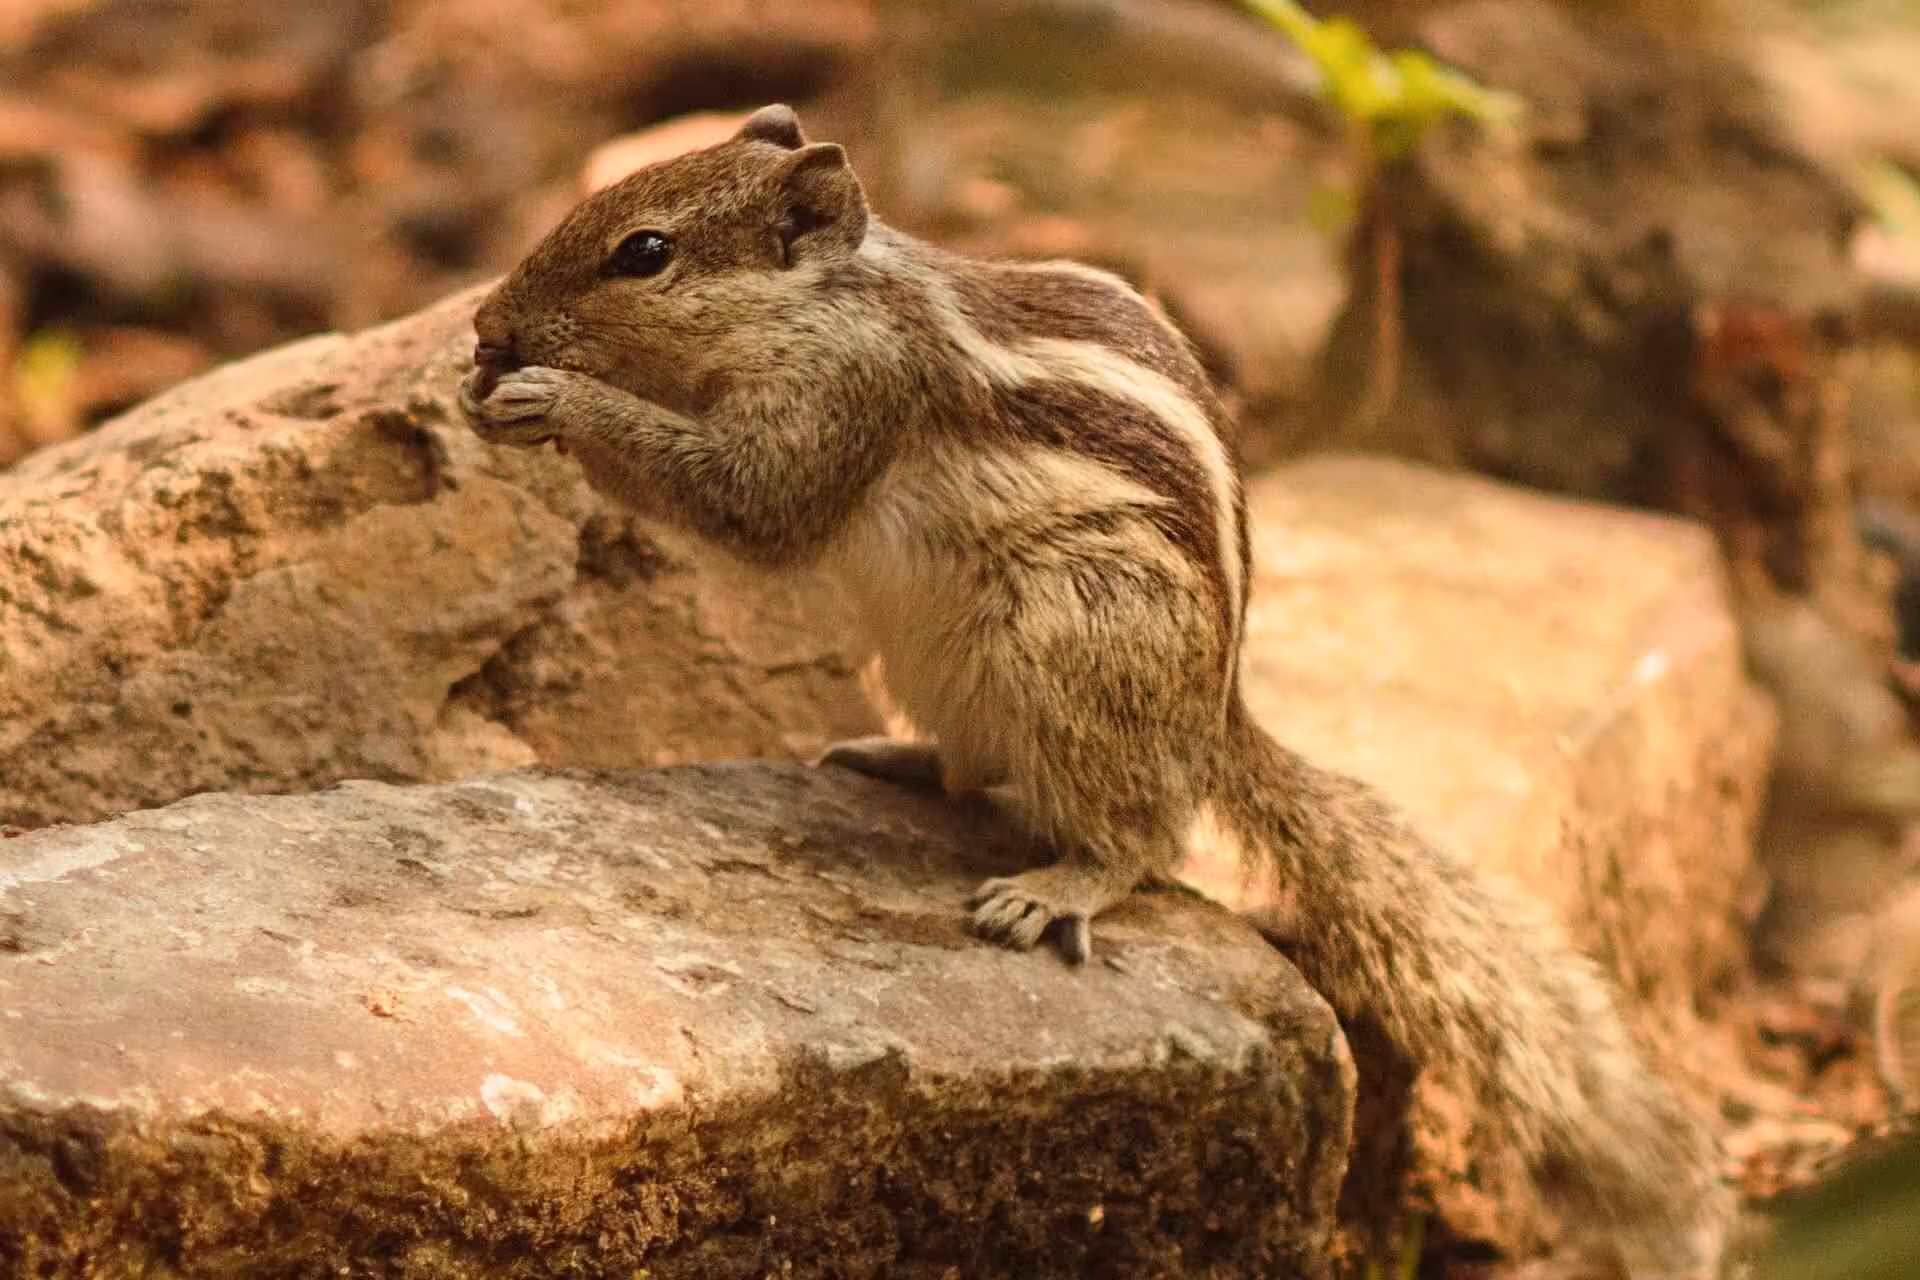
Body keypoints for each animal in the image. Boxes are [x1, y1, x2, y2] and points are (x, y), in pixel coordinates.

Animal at [457, 105, 1732, 1276]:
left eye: (644, 253)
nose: (484, 325)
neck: (834, 299)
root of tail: (1210, 722)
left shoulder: (840, 404)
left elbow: (749, 504)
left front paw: (553, 400)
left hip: (1073, 636)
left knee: (1146, 834)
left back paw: (1057, 886)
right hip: (939, 658)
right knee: (981, 770)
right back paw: (899, 758)